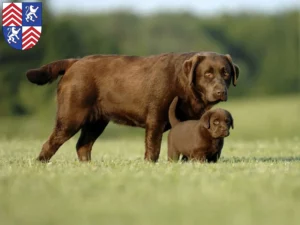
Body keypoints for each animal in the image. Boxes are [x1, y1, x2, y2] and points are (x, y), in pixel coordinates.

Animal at [25, 52, 239, 163]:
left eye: (226, 73)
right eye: (208, 74)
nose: (220, 92)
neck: (183, 84)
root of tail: (74, 62)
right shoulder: (156, 118)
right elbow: (153, 149)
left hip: (97, 122)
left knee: (83, 145)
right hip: (71, 117)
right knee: (51, 143)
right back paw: (40, 164)